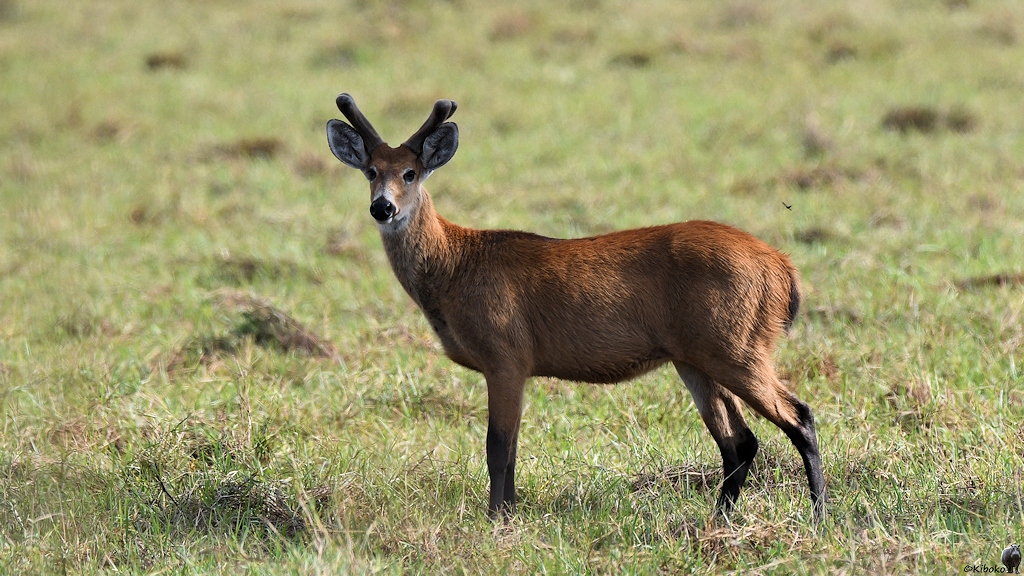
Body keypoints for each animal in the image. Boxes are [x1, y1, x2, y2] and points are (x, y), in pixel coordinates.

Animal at [326, 93, 826, 522]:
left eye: (410, 173)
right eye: (371, 170)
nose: (383, 208)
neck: (455, 266)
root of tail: (784, 270)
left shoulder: (505, 355)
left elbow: (497, 449)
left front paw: (496, 521)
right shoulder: (517, 365)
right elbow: (512, 450)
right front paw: (511, 514)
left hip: (735, 346)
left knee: (798, 416)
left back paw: (820, 517)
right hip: (696, 356)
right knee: (740, 441)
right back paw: (718, 521)